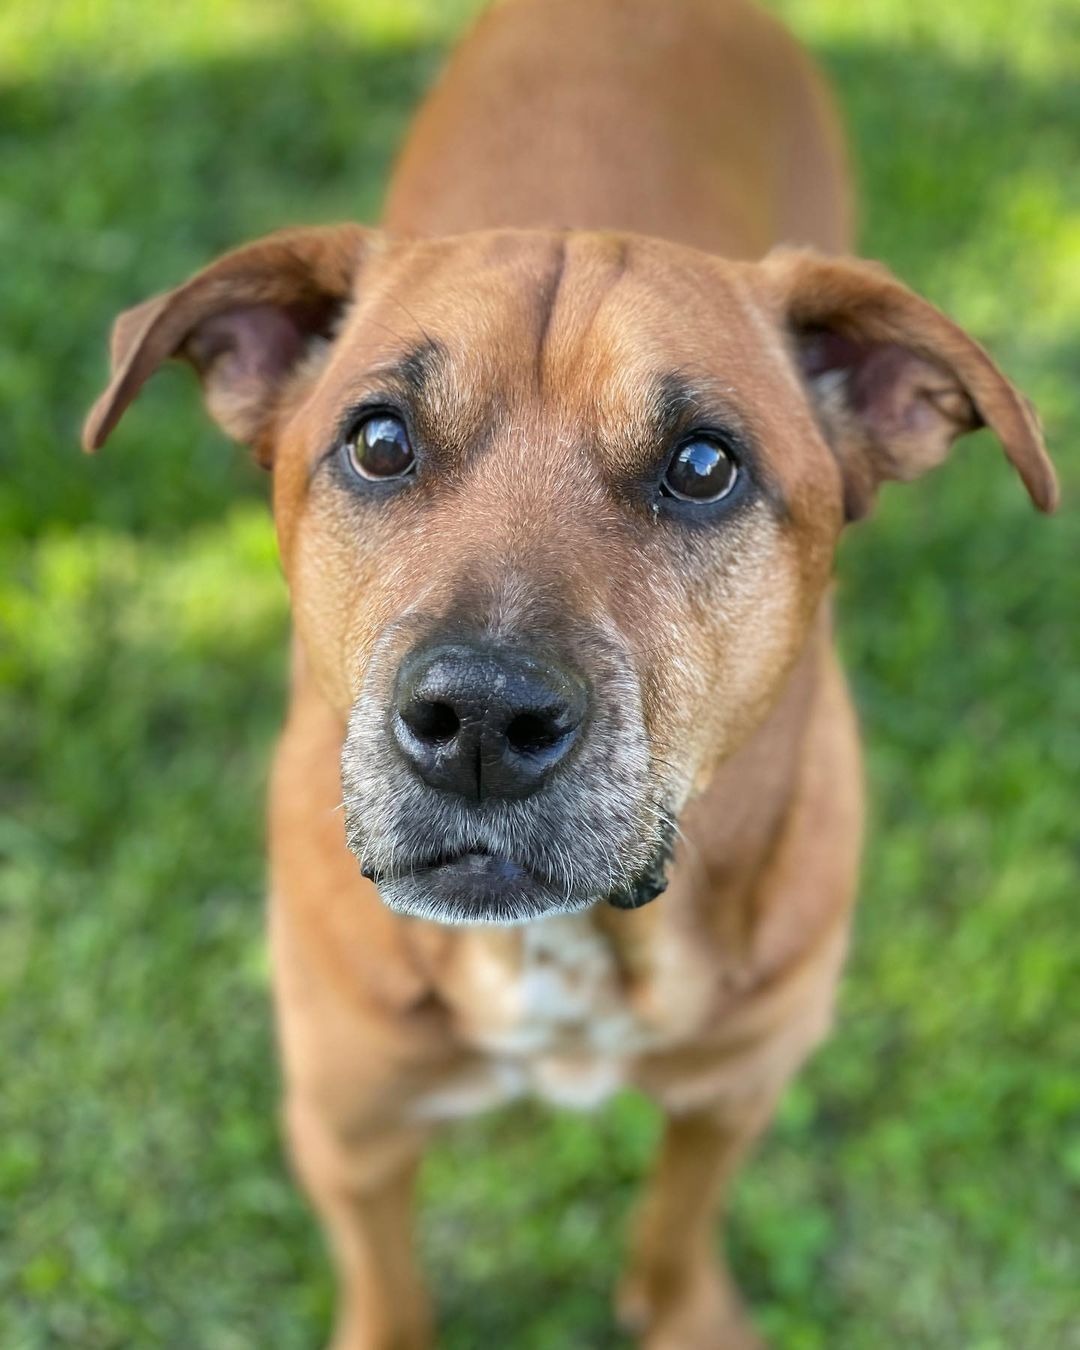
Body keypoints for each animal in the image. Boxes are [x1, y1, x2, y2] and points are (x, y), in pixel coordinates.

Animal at [82, 2, 1053, 1350]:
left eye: (703, 465)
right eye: (378, 442)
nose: (481, 721)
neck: (577, 954)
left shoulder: (734, 1091)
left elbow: (677, 1233)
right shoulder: (349, 1131)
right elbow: (391, 1292)